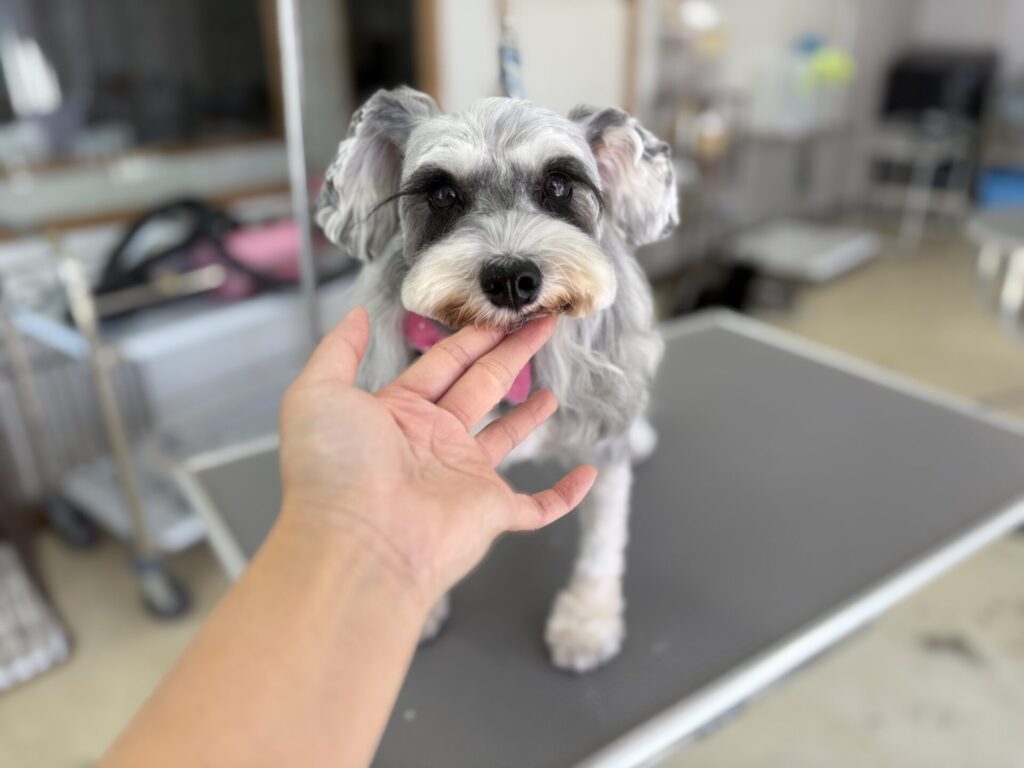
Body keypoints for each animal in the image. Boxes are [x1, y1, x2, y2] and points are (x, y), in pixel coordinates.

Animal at [316, 87, 677, 672]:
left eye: (559, 185)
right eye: (442, 194)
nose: (511, 278)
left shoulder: (603, 461)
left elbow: (602, 546)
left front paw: (587, 623)